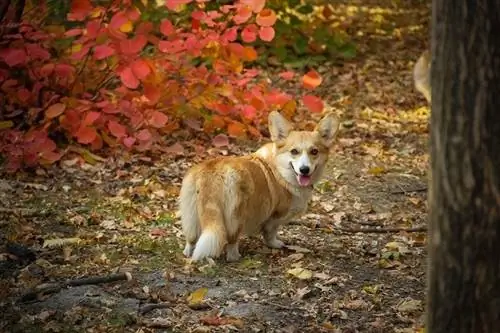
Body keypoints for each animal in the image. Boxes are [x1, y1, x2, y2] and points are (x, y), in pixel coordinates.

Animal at [178, 110, 338, 260]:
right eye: (294, 151)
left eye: (314, 151)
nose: (304, 170)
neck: (280, 169)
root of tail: (211, 172)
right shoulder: (275, 216)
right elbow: (270, 232)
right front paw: (274, 244)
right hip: (236, 217)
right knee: (231, 242)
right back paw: (235, 257)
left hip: (192, 213)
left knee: (191, 240)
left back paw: (188, 253)